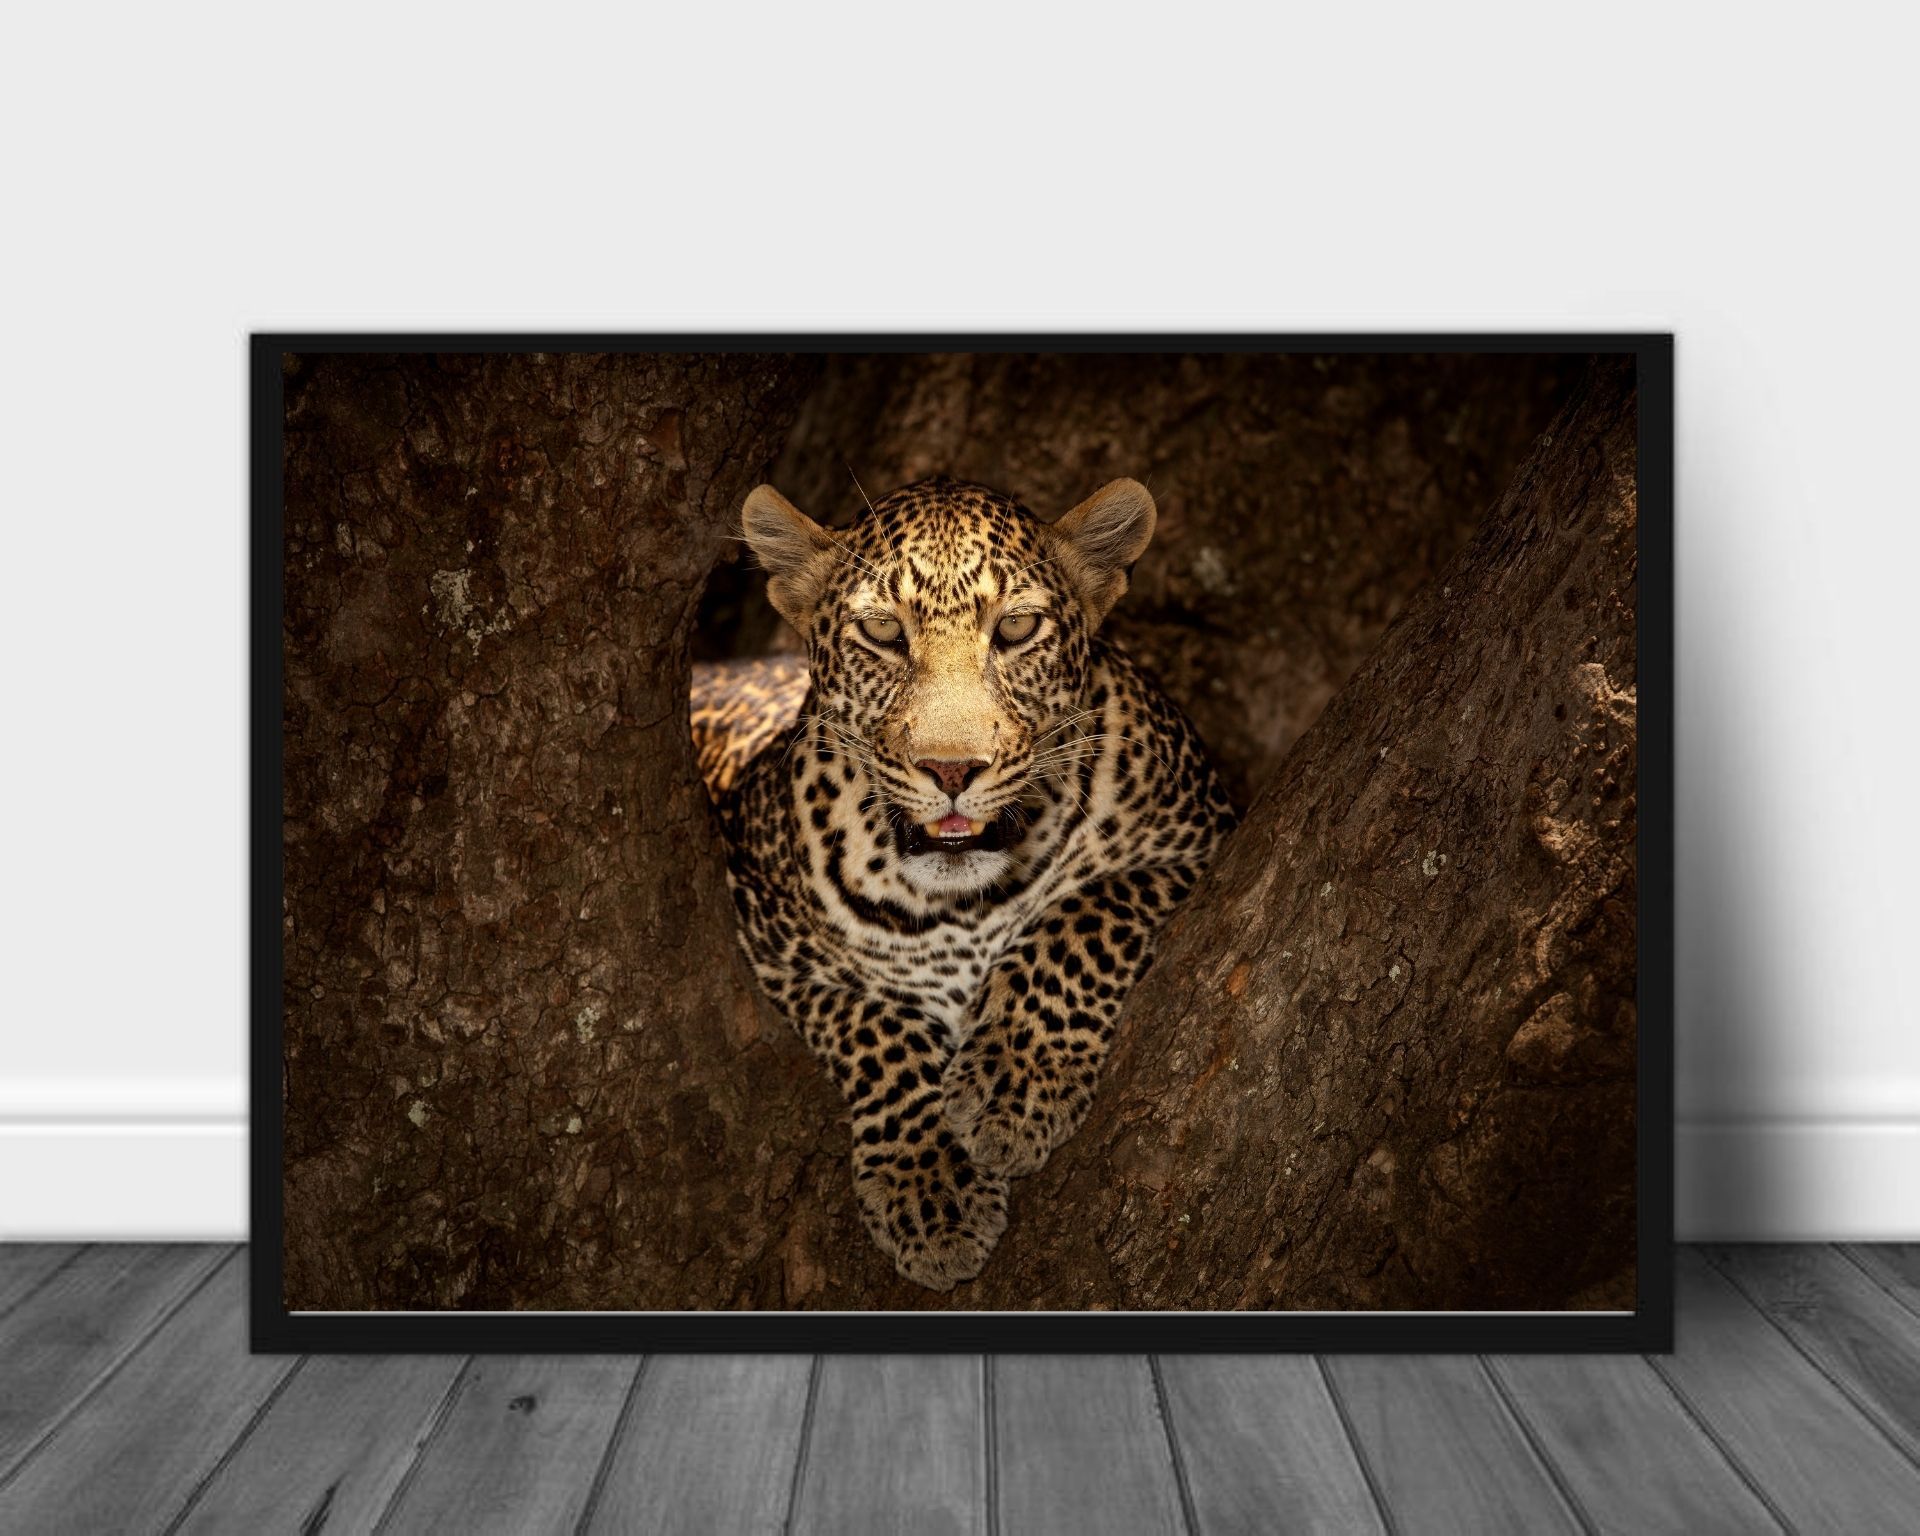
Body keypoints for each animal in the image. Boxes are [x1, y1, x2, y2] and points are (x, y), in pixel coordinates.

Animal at [691, 475, 1235, 1291]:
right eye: (884, 633)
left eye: (1016, 628)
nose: (951, 770)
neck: (962, 905)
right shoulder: (770, 943)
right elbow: (874, 1025)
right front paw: (930, 1188)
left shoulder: (1201, 838)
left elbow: (1081, 917)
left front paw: (1015, 1083)